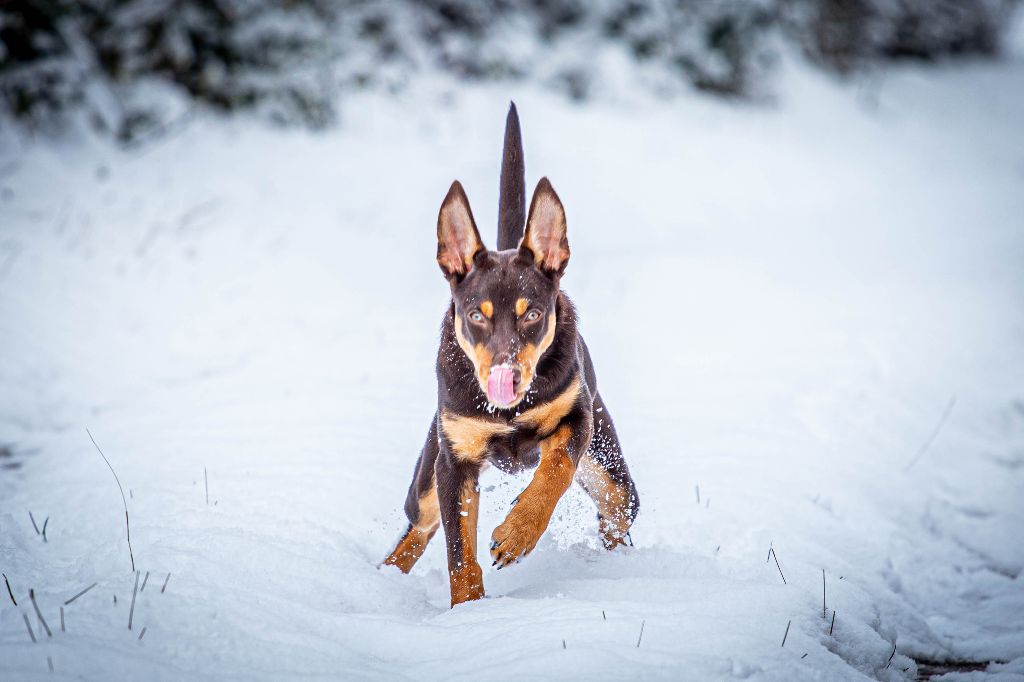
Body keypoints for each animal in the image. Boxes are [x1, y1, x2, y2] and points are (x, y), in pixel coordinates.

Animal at [385, 102, 638, 606]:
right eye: (475, 315)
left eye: (533, 314)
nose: (507, 375)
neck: (508, 412)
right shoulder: (454, 461)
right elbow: (459, 551)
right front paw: (469, 611)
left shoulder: (577, 419)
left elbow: (556, 467)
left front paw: (518, 532)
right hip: (424, 481)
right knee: (417, 530)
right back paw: (377, 584)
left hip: (612, 474)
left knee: (617, 514)